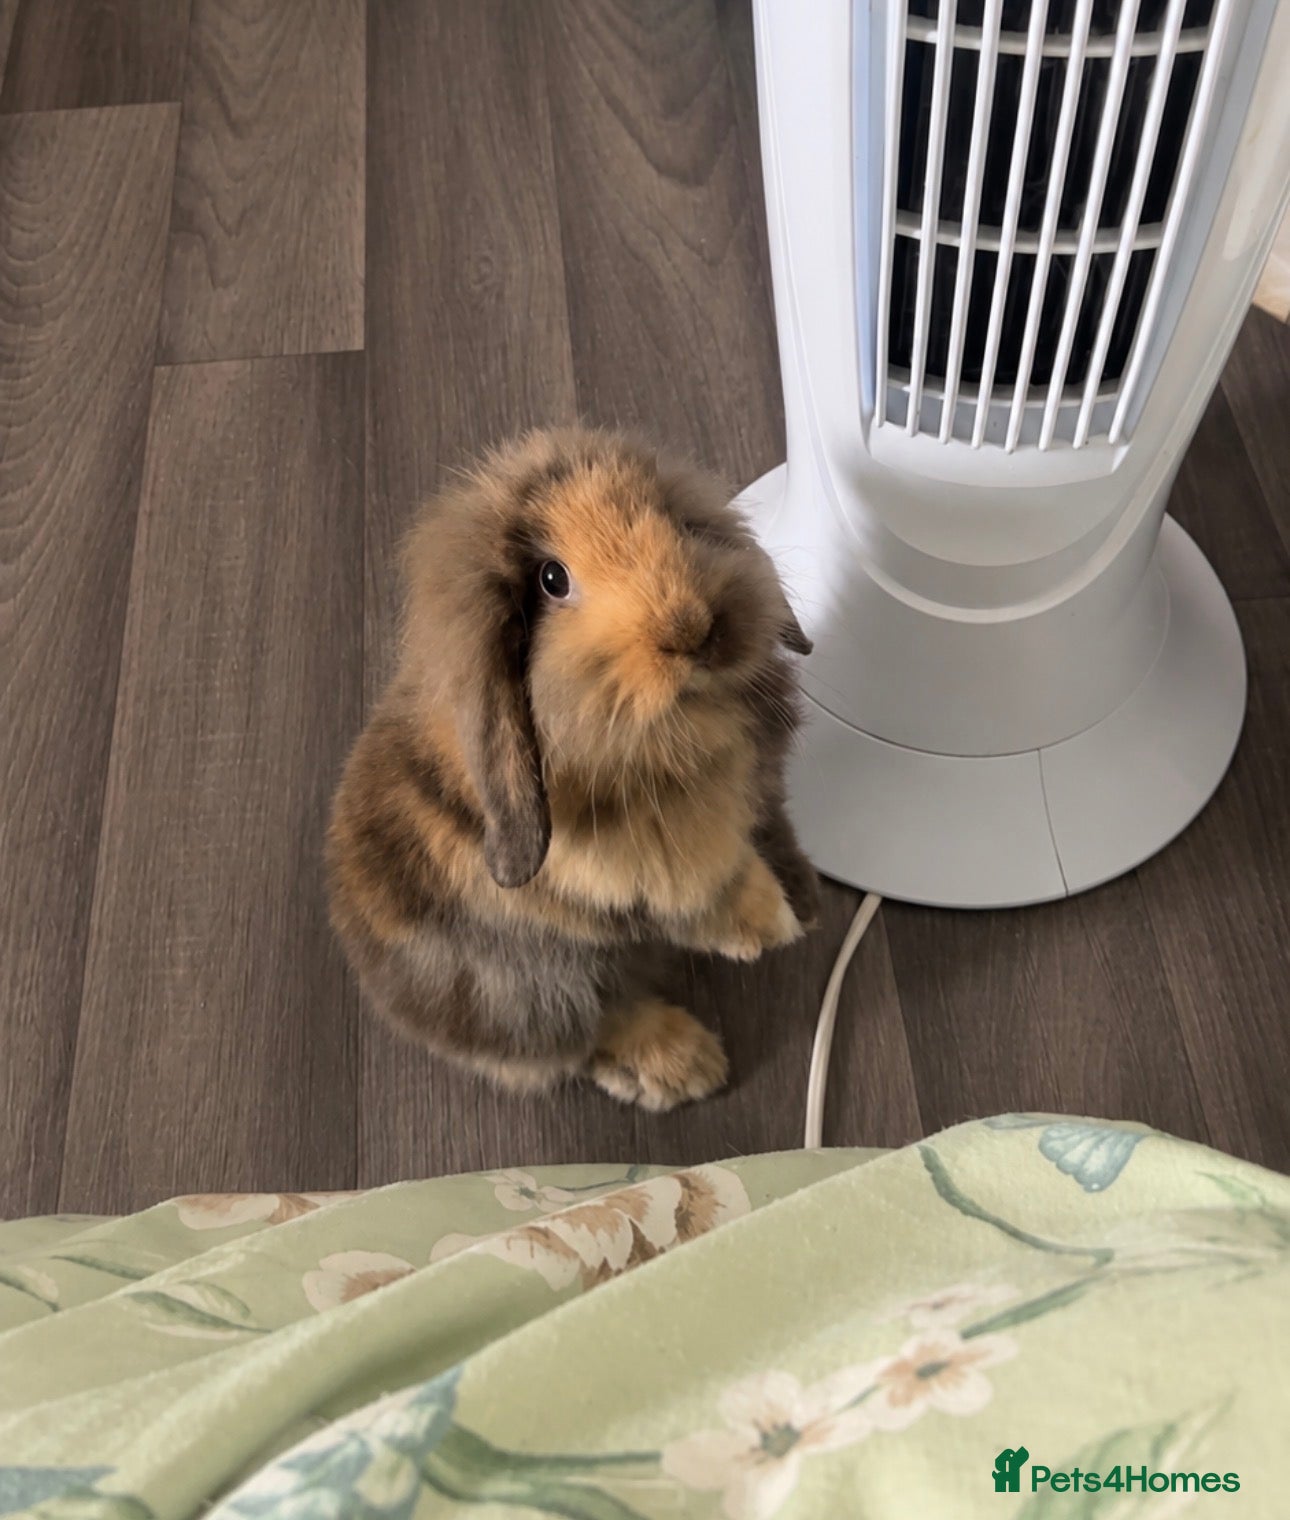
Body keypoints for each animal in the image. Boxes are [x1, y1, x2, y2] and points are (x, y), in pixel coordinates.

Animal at [326, 426, 820, 1111]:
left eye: (677, 522)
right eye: (553, 580)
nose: (692, 627)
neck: (678, 739)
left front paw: (802, 901)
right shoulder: (632, 873)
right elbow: (704, 892)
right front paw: (770, 926)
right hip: (530, 992)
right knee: (587, 1031)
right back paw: (685, 1067)